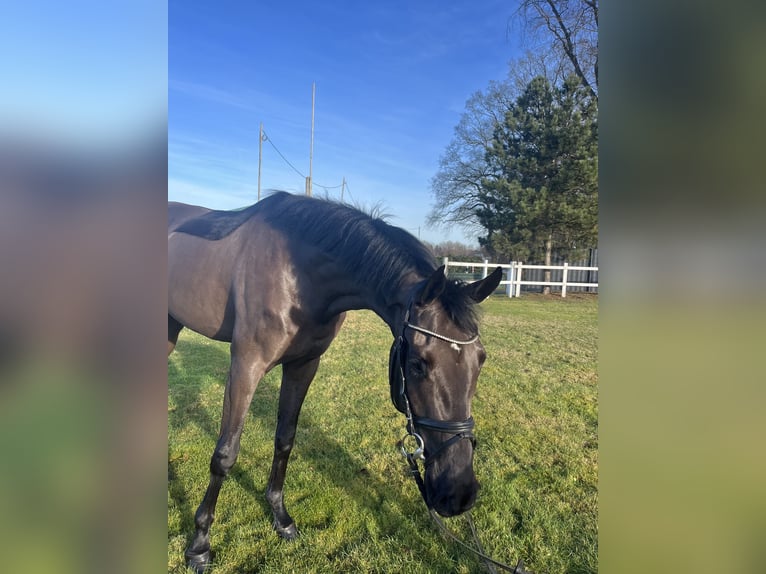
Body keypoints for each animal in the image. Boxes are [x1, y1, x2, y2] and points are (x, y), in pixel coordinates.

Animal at [169, 192, 504, 572]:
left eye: (481, 360)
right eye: (418, 364)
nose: (458, 492)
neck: (297, 274)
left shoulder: (303, 365)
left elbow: (285, 440)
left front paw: (281, 518)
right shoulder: (245, 366)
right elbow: (225, 454)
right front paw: (199, 544)